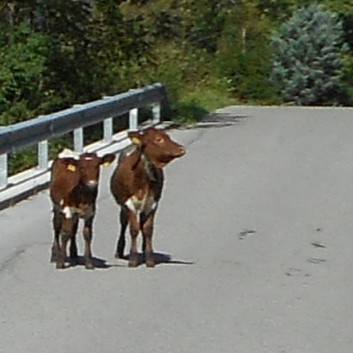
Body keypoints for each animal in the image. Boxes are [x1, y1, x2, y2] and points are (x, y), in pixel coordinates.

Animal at [110, 126, 186, 266]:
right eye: (158, 139)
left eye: (168, 136)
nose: (181, 149)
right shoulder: (129, 203)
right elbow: (133, 229)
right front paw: (133, 259)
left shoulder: (153, 203)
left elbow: (148, 229)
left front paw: (149, 258)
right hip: (123, 205)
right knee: (124, 223)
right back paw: (119, 251)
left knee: (142, 224)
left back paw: (144, 248)